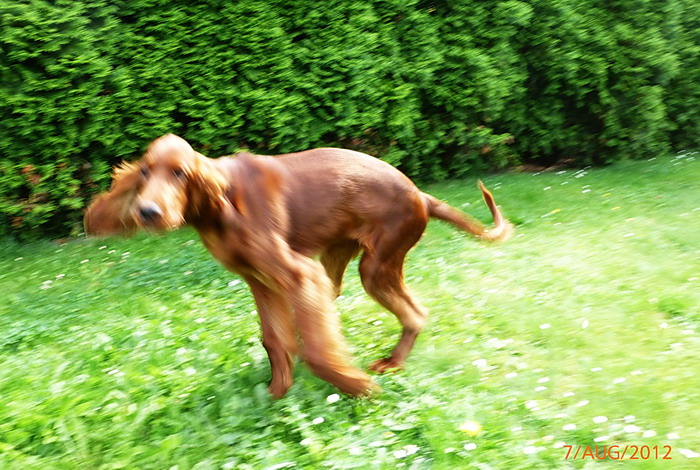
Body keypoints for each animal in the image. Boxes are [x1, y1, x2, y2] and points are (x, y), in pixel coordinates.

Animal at [84, 134, 513, 397]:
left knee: (415, 313)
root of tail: (420, 195)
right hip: (334, 261)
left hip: (374, 266)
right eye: (144, 172)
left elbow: (317, 353)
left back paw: (391, 363)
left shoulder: (296, 273)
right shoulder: (260, 281)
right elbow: (274, 339)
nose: (147, 212)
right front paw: (276, 394)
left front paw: (358, 387)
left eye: (180, 173)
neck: (220, 206)